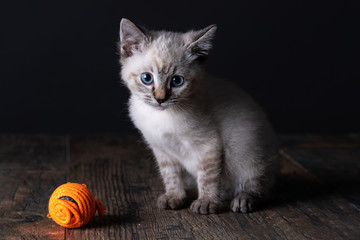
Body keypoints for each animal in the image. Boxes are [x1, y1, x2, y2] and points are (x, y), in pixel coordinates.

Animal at [118, 18, 278, 214]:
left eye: (177, 81)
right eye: (147, 78)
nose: (161, 99)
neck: (162, 117)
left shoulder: (208, 146)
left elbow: (208, 177)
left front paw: (207, 202)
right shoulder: (162, 150)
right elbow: (170, 176)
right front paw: (174, 197)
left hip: (249, 154)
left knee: (257, 187)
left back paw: (243, 200)